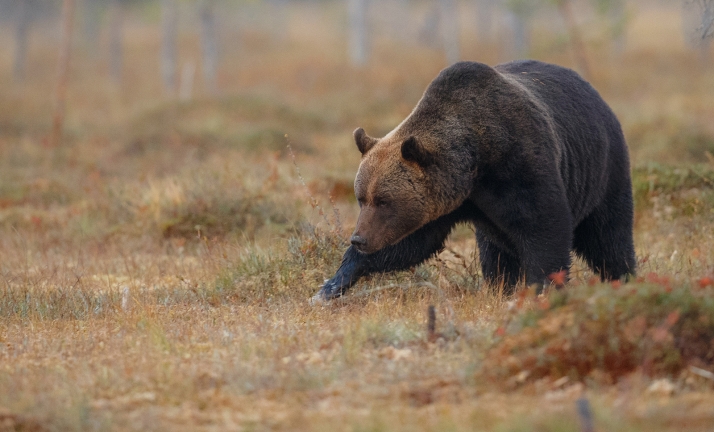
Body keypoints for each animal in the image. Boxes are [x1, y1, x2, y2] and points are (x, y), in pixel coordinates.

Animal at [313, 60, 636, 301]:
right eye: (361, 198)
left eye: (384, 200)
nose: (358, 238)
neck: (475, 165)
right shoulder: (446, 202)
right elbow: (410, 244)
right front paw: (330, 285)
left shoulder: (520, 165)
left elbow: (545, 229)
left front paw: (542, 290)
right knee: (495, 251)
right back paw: (498, 286)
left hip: (603, 169)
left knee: (609, 236)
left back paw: (624, 278)